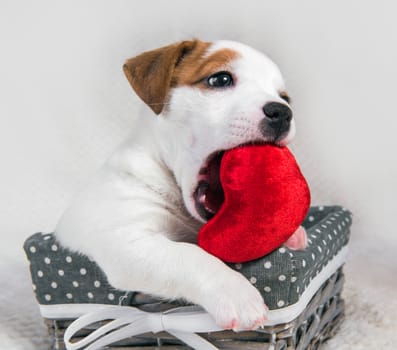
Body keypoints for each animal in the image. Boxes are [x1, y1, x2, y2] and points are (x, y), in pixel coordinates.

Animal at [55, 39, 306, 332]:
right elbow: (189, 254)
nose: (282, 112)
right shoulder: (126, 240)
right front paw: (235, 293)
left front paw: (293, 234)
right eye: (220, 79)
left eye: (285, 98)